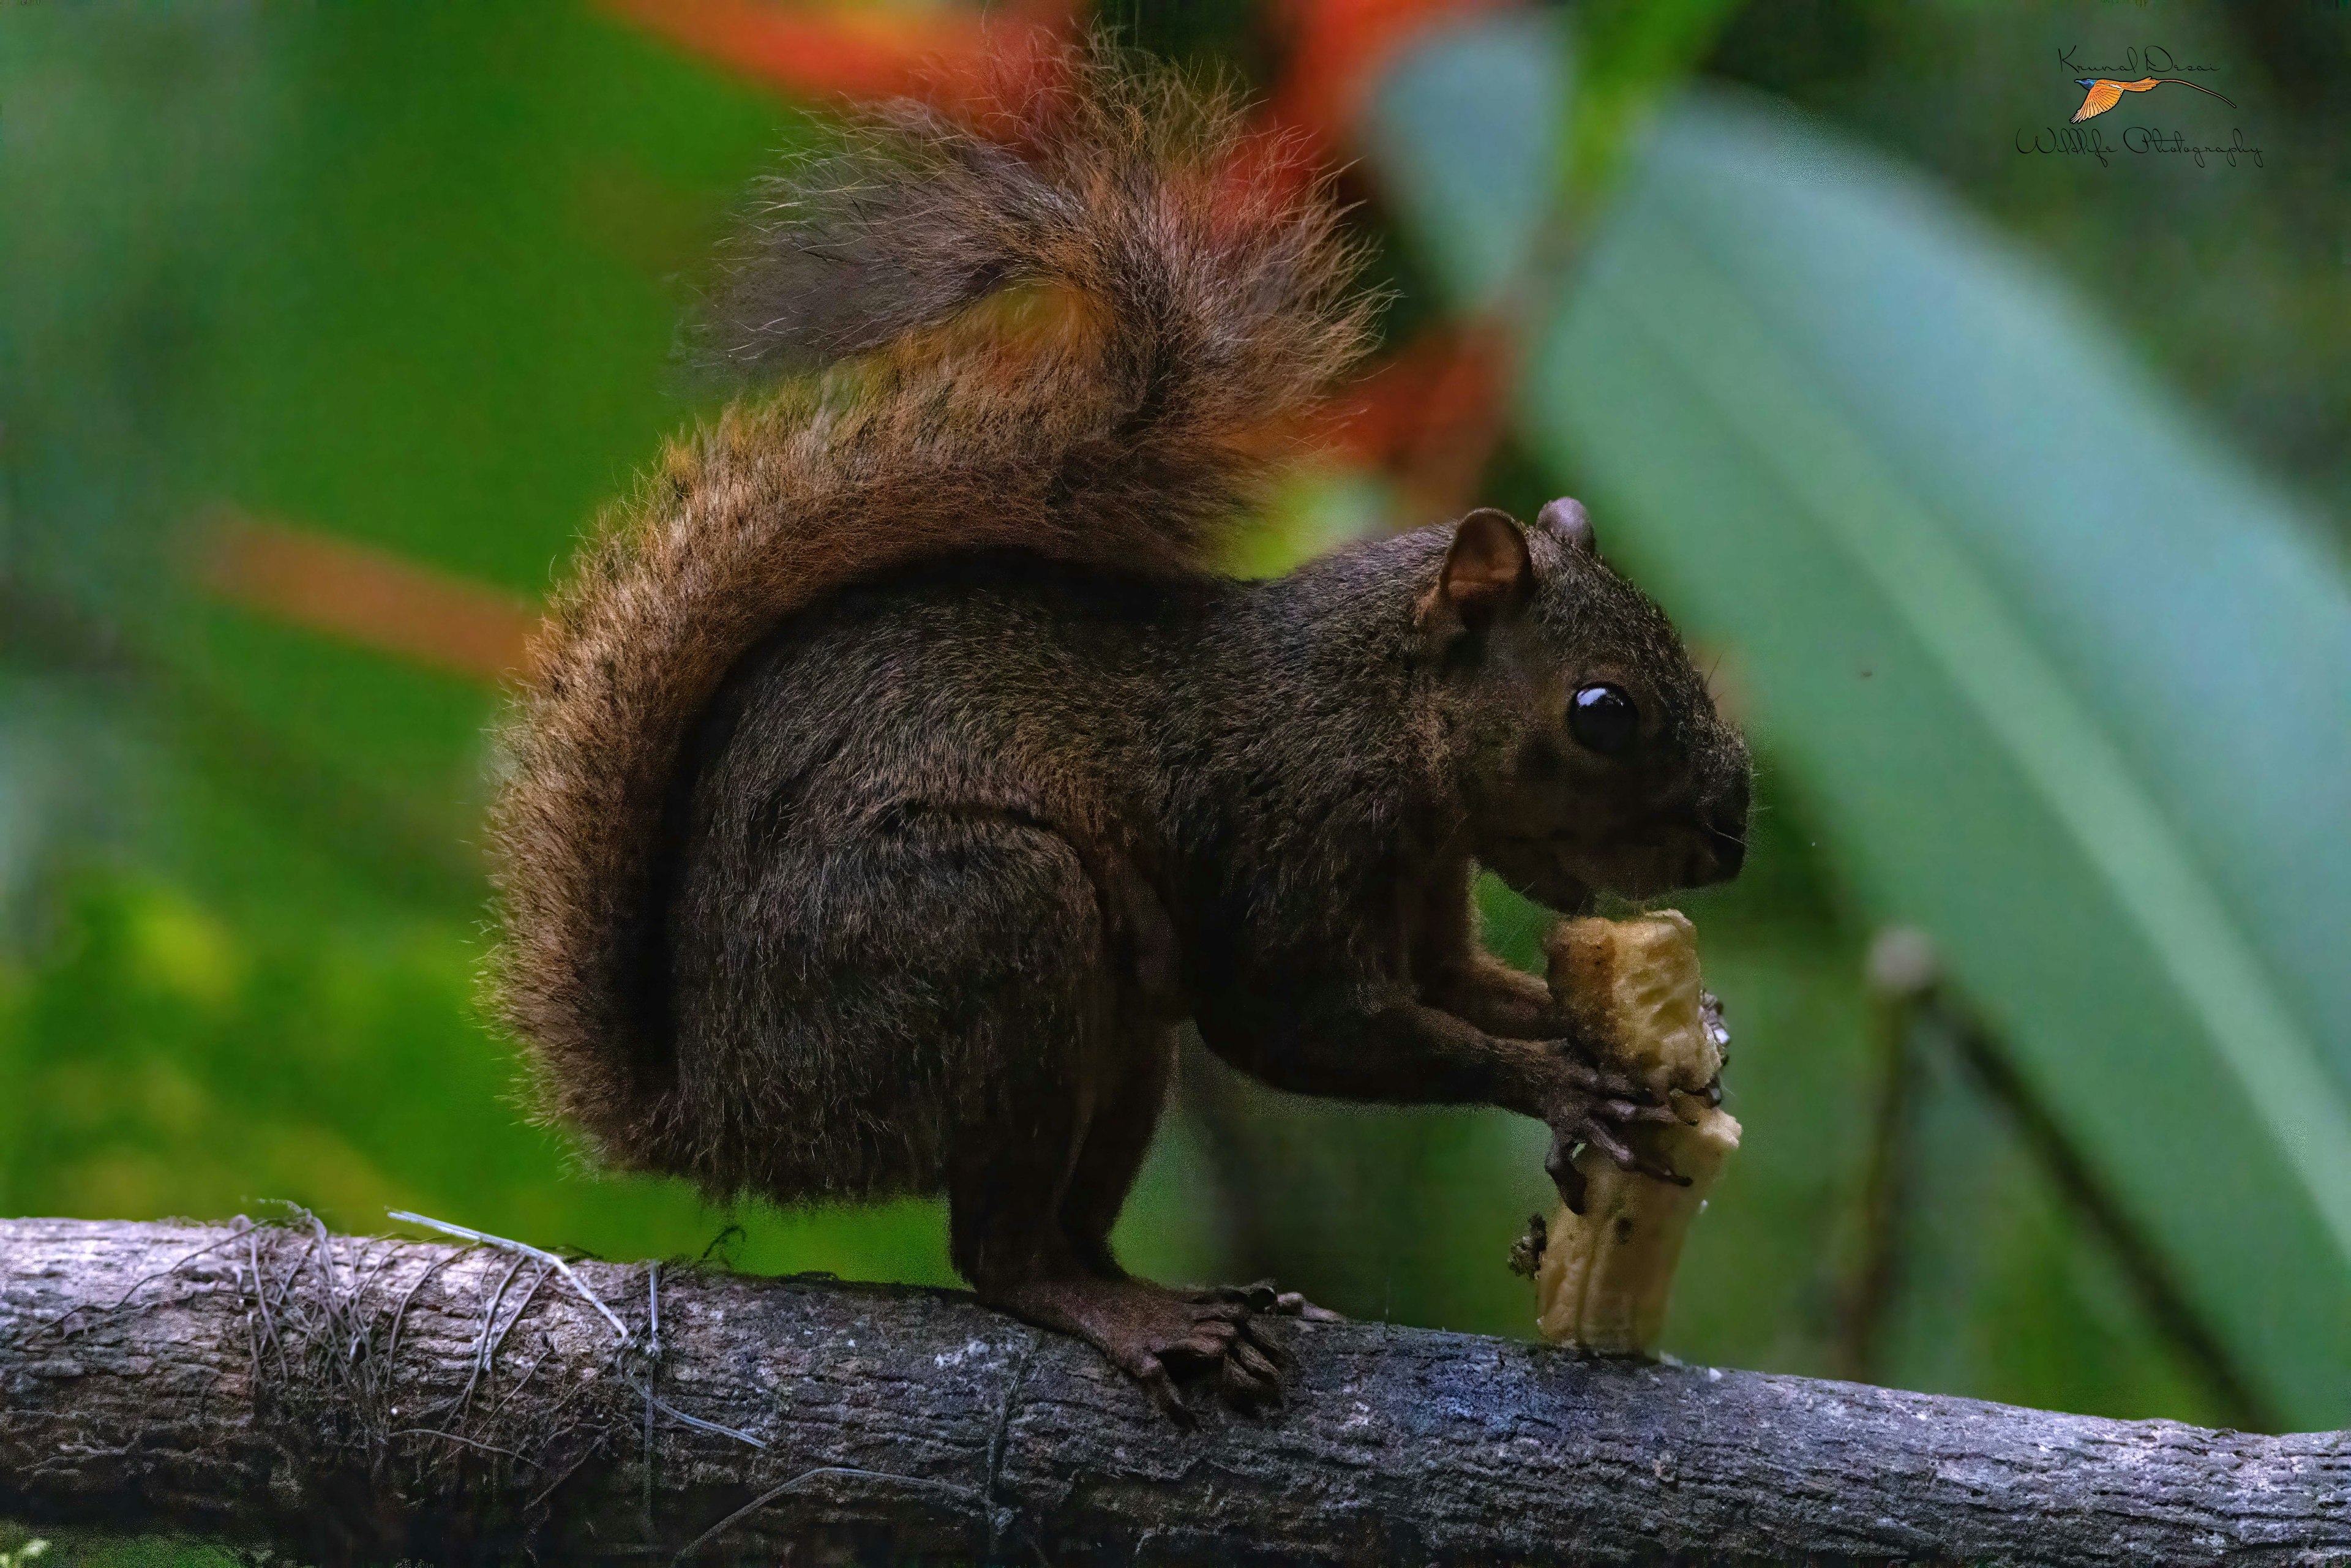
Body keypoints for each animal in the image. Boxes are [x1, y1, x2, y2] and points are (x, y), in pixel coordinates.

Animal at [491, 55, 1749, 1420]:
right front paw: (1562, 1083)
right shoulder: (1292, 829)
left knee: (1066, 1221)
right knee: (1003, 1254)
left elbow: (1460, 987)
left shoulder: (1423, 886)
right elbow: (1299, 1023)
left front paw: (1662, 1039)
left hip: (1120, 1030)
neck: (1375, 708)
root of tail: (715, 1111)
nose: (1731, 837)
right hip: (985, 924)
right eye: (1601, 712)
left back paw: (1199, 1304)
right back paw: (1135, 1317)